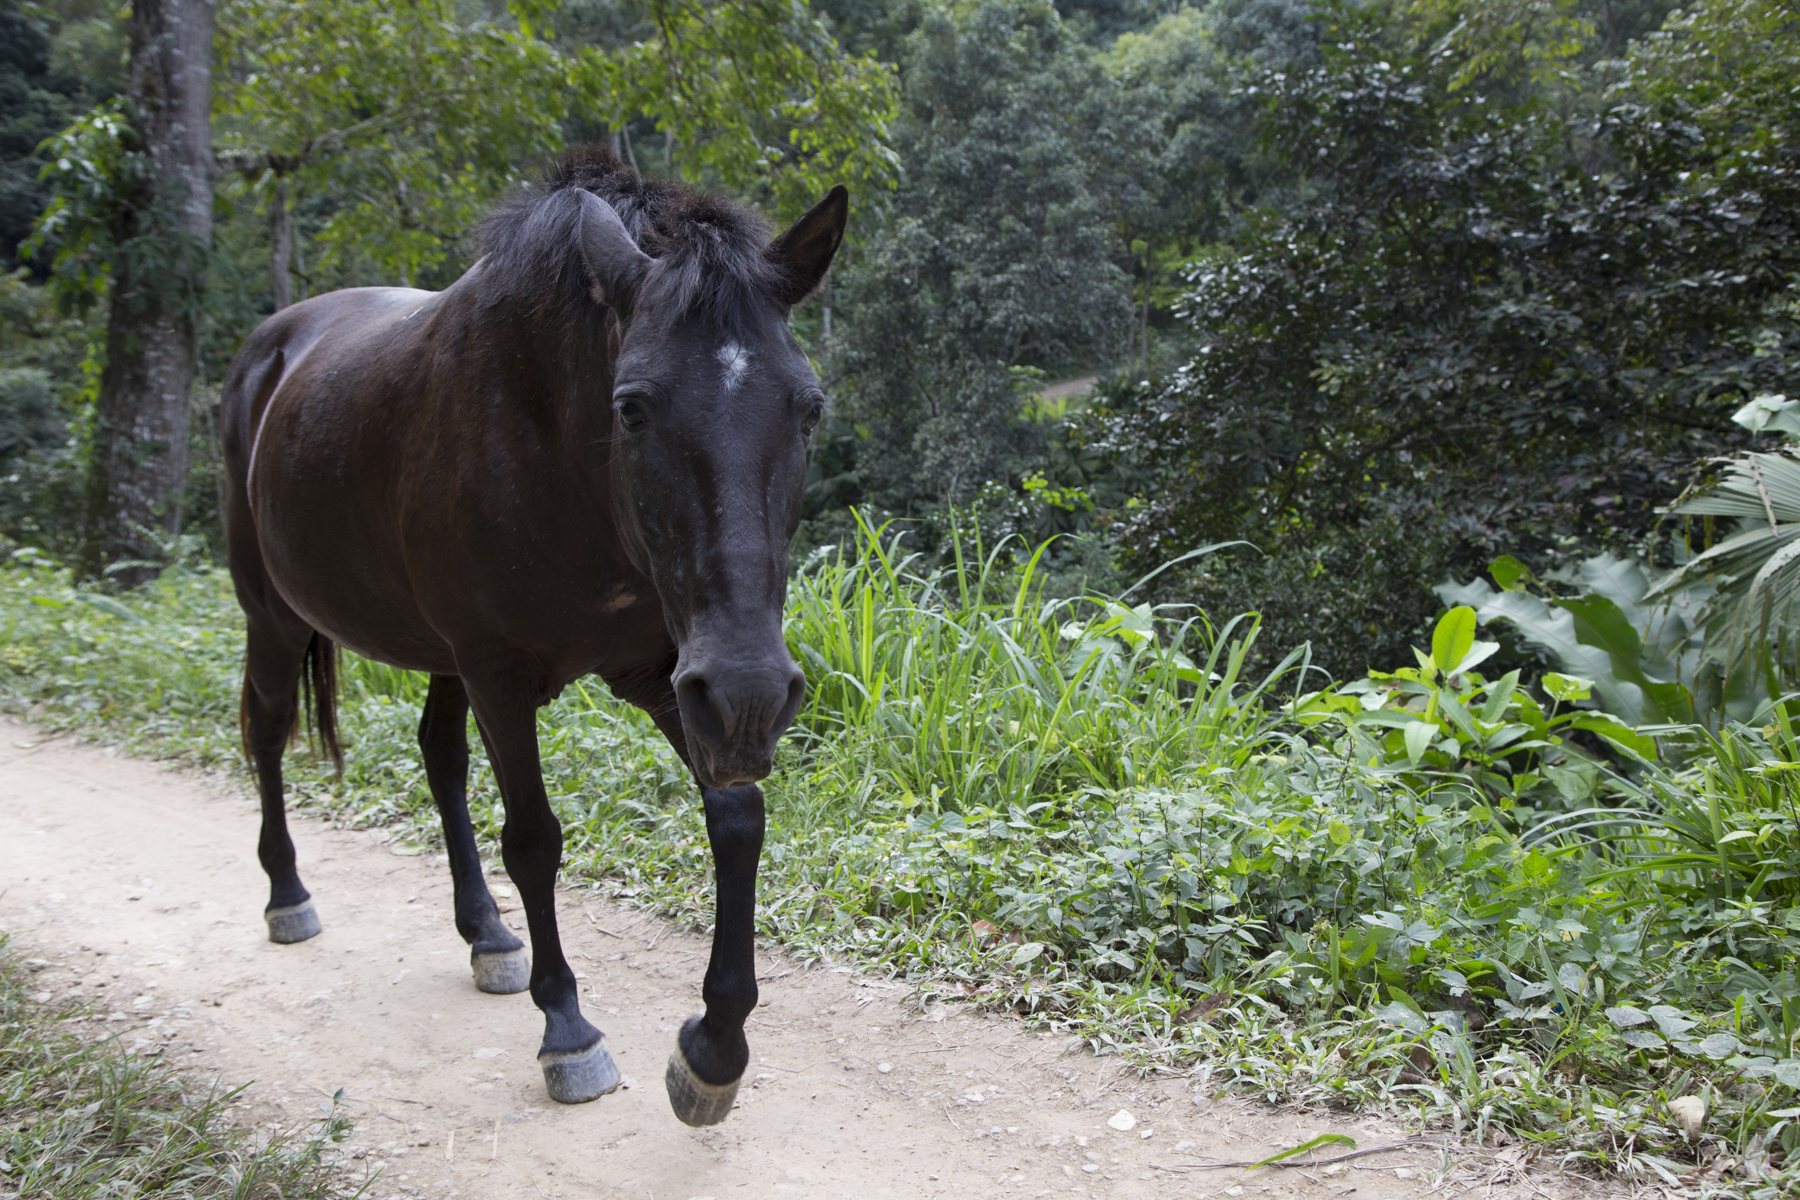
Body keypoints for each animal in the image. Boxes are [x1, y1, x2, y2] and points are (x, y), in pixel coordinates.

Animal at [217, 147, 846, 1126]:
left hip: (444, 658)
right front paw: (570, 1034)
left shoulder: (669, 675)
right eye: (631, 407)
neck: (554, 450)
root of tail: (269, 351)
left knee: (438, 756)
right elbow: (534, 840)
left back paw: (487, 935)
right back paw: (288, 894)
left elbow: (737, 818)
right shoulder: (503, 677)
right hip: (276, 618)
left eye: (808, 408)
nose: (752, 693)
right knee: (272, 733)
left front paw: (712, 1051)